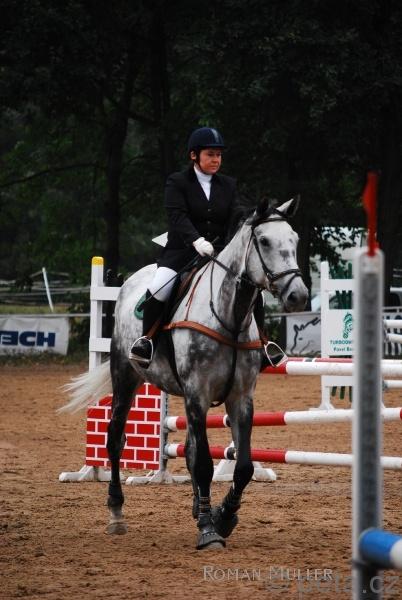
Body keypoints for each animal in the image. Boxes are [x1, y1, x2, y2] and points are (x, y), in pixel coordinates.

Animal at [62, 197, 308, 550]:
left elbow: (242, 466)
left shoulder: (241, 398)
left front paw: (223, 516)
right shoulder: (197, 394)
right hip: (126, 378)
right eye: (264, 241)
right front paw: (208, 530)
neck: (229, 314)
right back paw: (116, 512)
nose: (298, 296)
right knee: (115, 439)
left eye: (294, 239)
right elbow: (204, 463)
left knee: (190, 449)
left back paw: (197, 506)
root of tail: (130, 280)